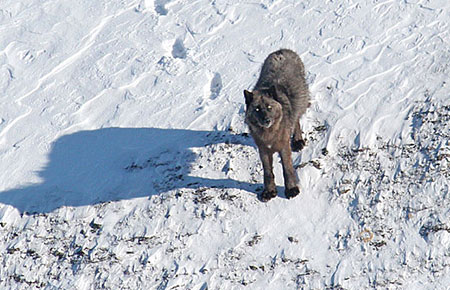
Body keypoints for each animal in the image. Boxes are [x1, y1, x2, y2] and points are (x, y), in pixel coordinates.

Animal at [244, 48, 312, 202]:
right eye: (257, 109)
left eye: (269, 107)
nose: (266, 120)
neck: (269, 134)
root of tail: (281, 50)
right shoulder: (263, 150)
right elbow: (268, 172)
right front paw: (269, 191)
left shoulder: (283, 146)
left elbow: (287, 169)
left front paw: (291, 189)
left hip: (300, 102)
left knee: (296, 120)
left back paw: (298, 140)